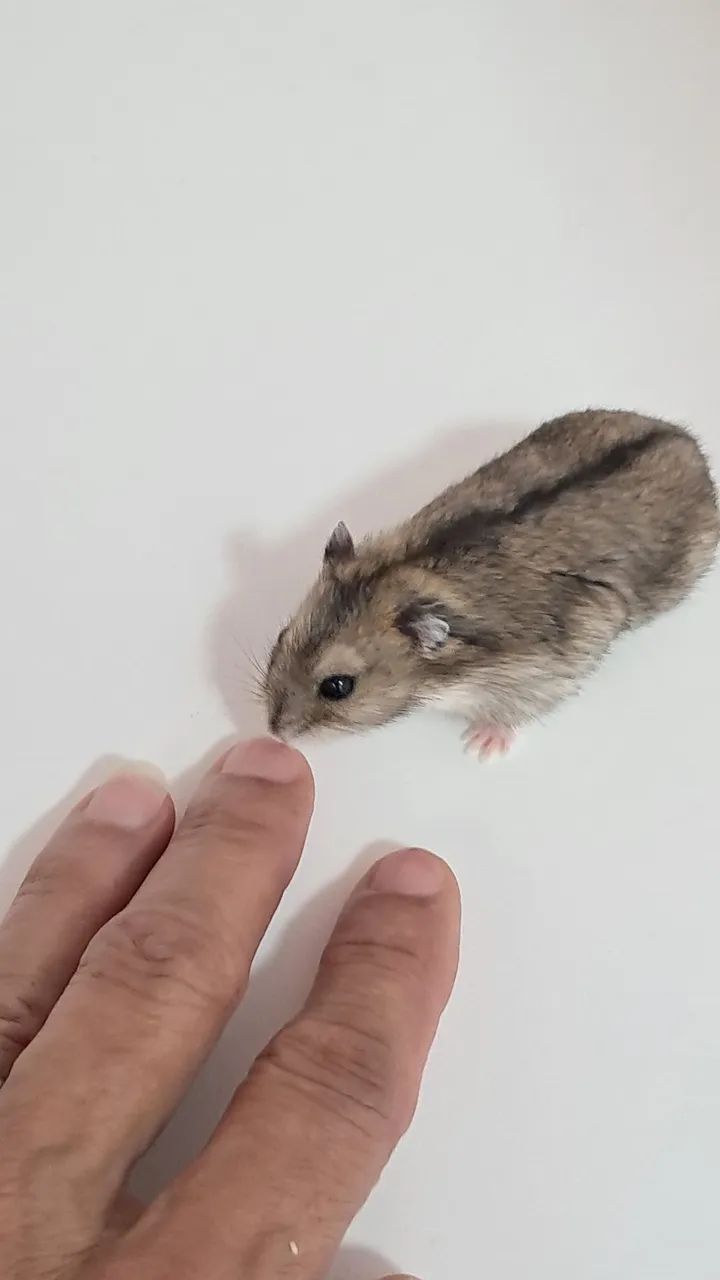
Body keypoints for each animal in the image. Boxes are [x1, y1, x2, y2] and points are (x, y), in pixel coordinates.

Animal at [263, 410, 719, 758]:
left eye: (338, 687)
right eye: (281, 637)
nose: (275, 733)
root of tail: (689, 442)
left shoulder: (558, 658)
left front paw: (480, 746)